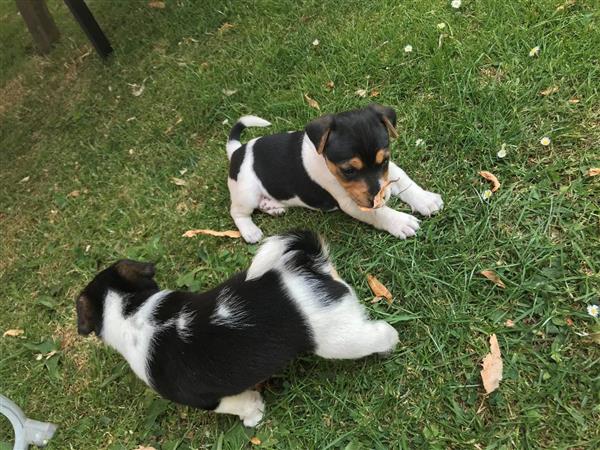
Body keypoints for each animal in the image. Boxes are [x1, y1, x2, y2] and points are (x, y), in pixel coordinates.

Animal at [77, 232, 400, 426]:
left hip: (338, 339)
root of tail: (309, 263)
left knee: (381, 332)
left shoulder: (209, 400)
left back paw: (388, 347)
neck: (130, 310)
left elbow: (238, 404)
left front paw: (253, 415)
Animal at [227, 103, 442, 243]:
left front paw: (425, 200)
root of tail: (237, 151)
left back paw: (272, 207)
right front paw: (400, 221)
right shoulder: (351, 202)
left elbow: (404, 180)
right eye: (348, 170)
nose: (381, 197)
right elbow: (379, 213)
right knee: (237, 212)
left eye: (385, 161)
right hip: (246, 192)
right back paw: (250, 231)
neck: (325, 158)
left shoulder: (389, 171)